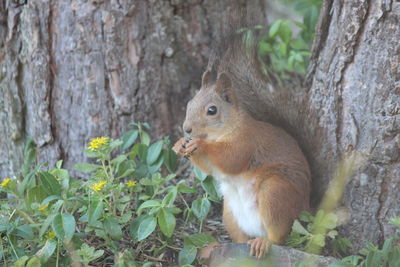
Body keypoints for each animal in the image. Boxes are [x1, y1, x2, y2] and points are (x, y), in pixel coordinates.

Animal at [173, 63, 310, 260]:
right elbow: (209, 168)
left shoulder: (246, 142)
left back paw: (264, 243)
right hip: (230, 213)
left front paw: (200, 144)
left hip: (275, 193)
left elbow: (231, 159)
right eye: (189, 103)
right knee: (240, 239)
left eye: (212, 110)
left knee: (279, 236)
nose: (187, 129)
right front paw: (179, 144)